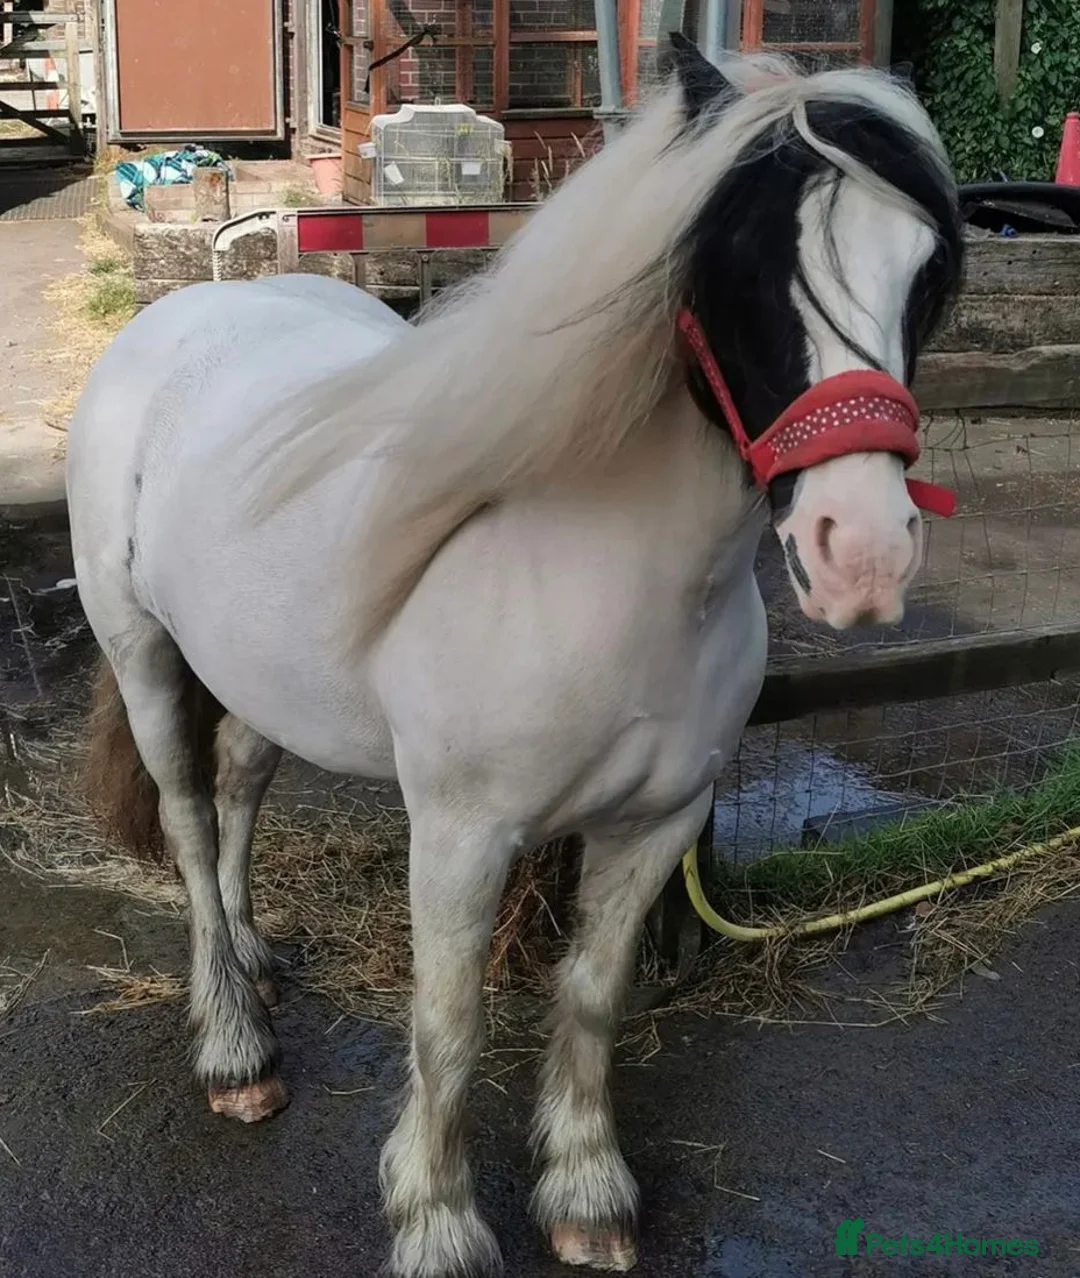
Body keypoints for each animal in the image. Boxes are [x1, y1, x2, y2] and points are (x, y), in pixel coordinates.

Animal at [66, 37, 962, 1278]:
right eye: (734, 262)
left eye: (926, 275)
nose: (862, 555)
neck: (606, 576)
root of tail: (178, 319)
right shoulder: (461, 835)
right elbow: (449, 1029)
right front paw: (438, 1223)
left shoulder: (657, 824)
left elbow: (590, 993)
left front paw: (587, 1193)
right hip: (145, 653)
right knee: (192, 827)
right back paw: (236, 1049)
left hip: (262, 679)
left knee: (240, 787)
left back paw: (254, 961)